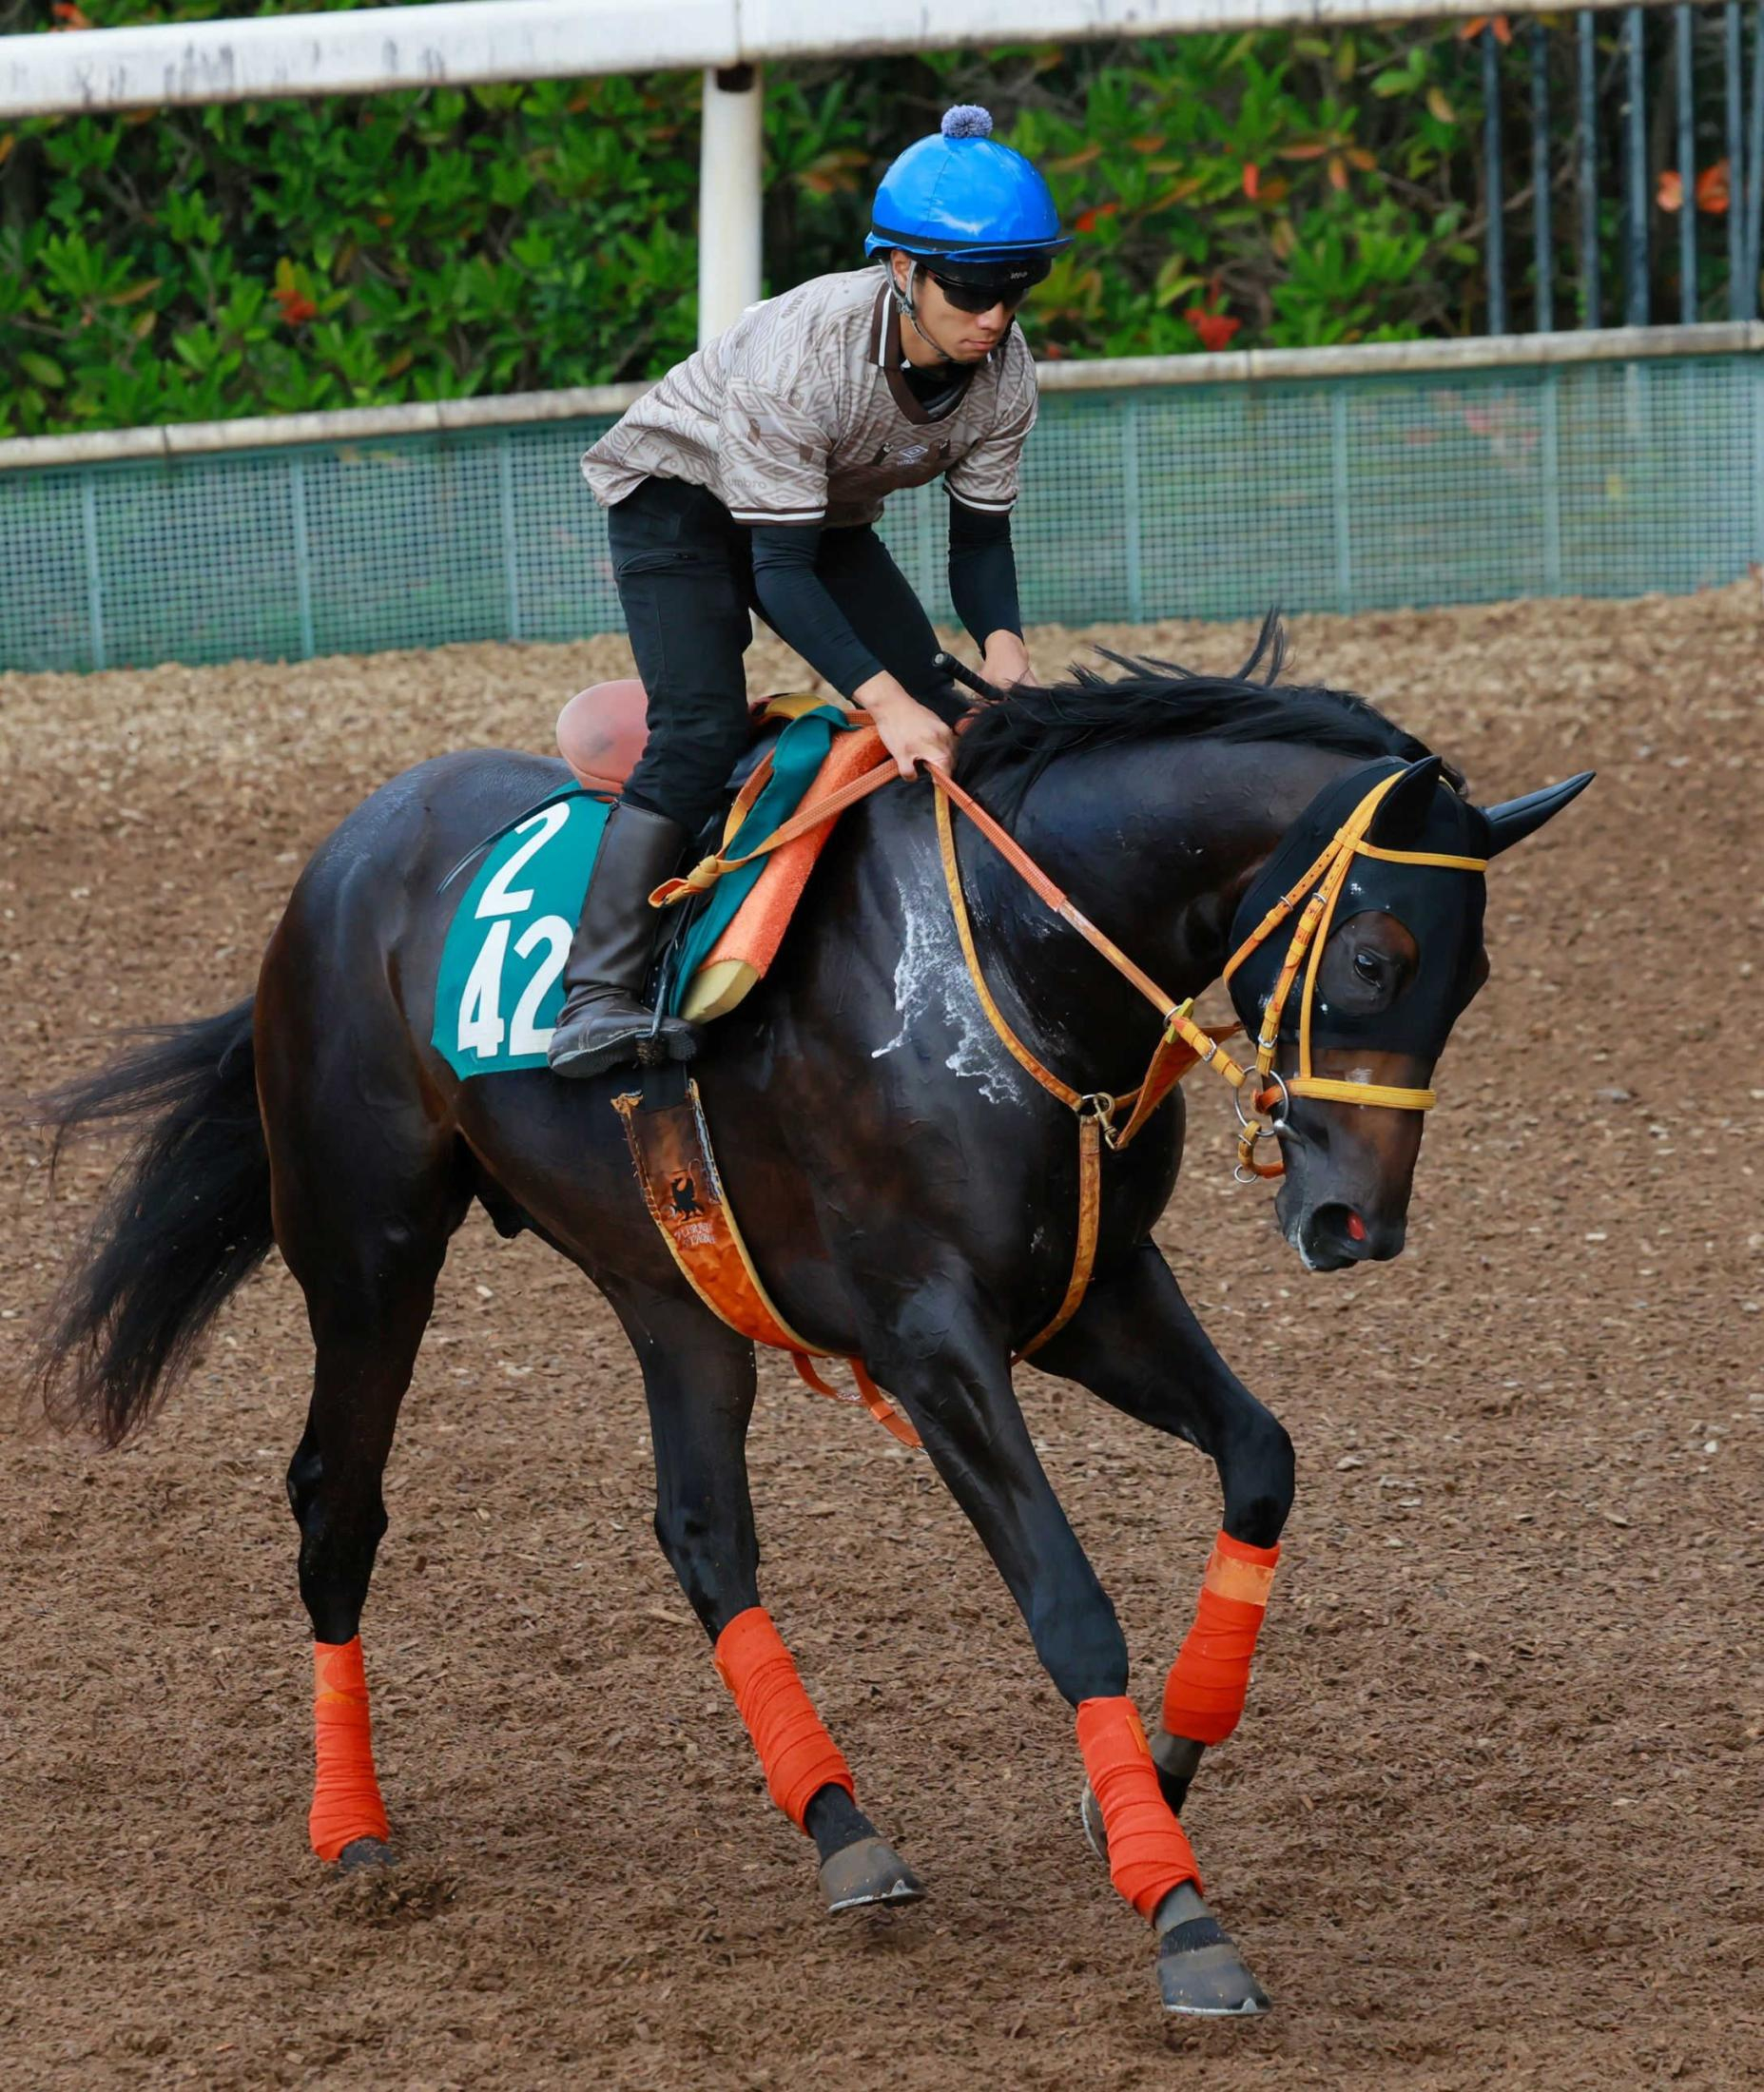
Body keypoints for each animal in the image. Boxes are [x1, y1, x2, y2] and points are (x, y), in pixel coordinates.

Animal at [31, 619, 1590, 2017]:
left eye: (1473, 977)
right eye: (1377, 957)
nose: (1355, 1222)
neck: (1010, 952)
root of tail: (345, 852)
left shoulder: (1089, 1292)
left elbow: (1260, 1460)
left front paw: (1151, 1778)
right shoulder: (930, 1335)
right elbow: (1067, 1604)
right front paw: (1178, 1911)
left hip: (670, 1285)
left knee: (702, 1533)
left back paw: (841, 1826)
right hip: (369, 1255)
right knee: (336, 1506)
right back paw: (354, 1833)